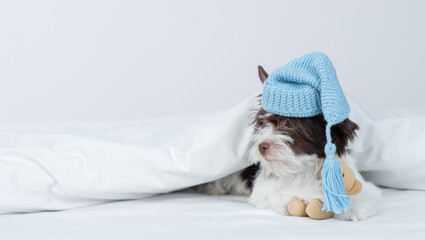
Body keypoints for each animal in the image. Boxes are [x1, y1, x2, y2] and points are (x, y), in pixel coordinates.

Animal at [198, 66, 380, 221]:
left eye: (289, 123)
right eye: (262, 124)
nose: (261, 146)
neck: (303, 169)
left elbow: (362, 194)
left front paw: (351, 210)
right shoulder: (265, 190)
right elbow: (284, 195)